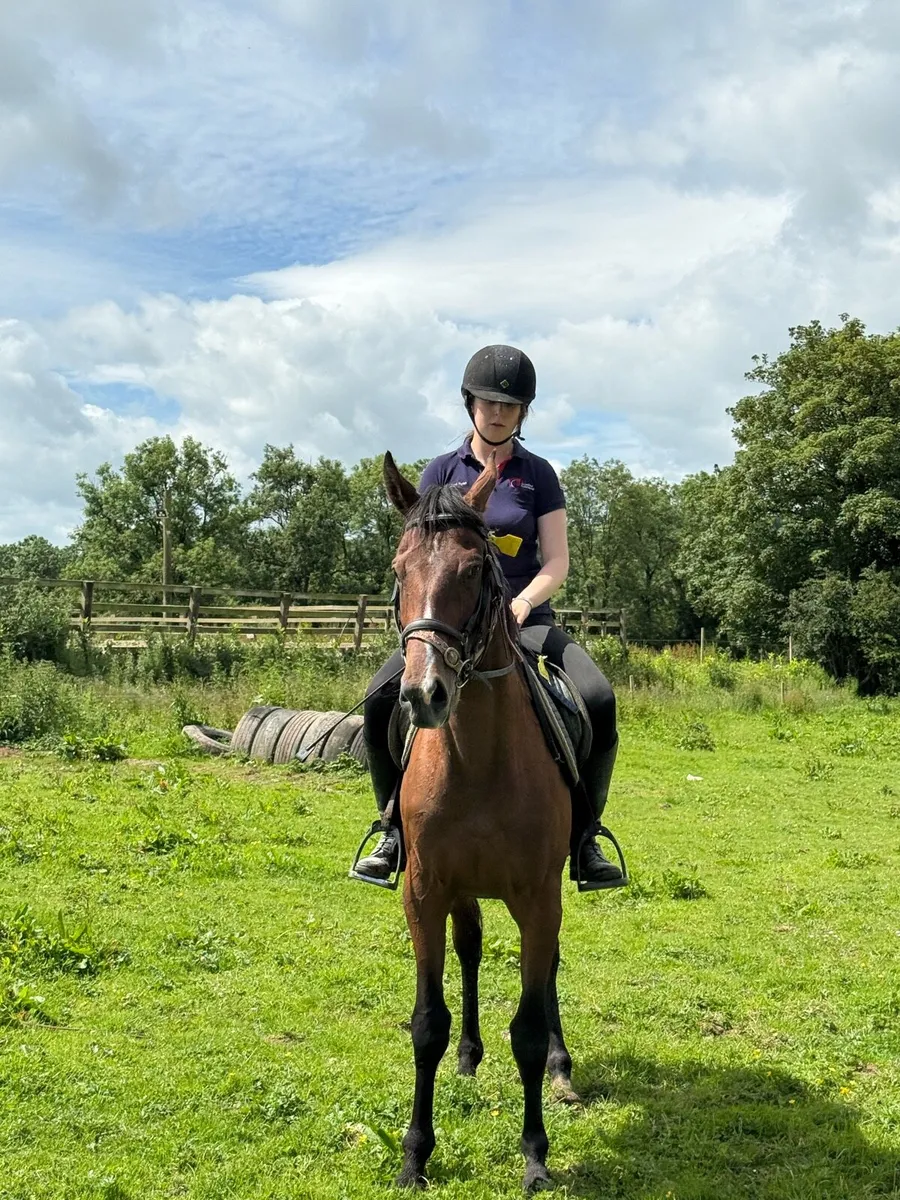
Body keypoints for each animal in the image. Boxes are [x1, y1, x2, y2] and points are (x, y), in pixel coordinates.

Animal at [382, 450, 579, 1192]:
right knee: (468, 949)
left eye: (474, 571)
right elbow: (426, 1023)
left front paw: (535, 1154)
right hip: (461, 891)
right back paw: (470, 1054)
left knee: (546, 974)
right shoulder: (425, 890)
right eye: (399, 570)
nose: (422, 695)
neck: (478, 760)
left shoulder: (539, 895)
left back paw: (561, 1067)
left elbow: (528, 1023)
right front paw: (415, 1153)